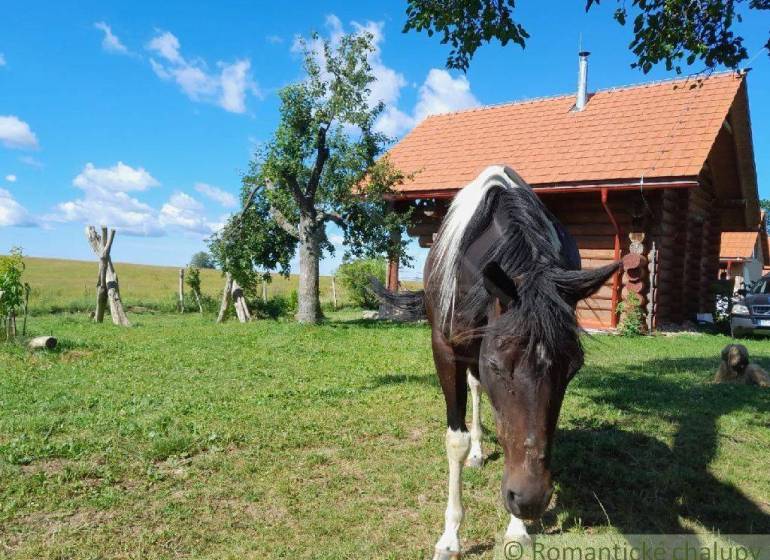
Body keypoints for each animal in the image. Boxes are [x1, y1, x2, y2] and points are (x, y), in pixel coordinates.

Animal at [372, 164, 616, 556]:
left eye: (572, 370)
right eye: (497, 366)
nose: (530, 500)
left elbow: (518, 436)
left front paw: (517, 528)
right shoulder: (446, 351)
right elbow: (456, 440)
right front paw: (450, 538)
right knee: (473, 390)